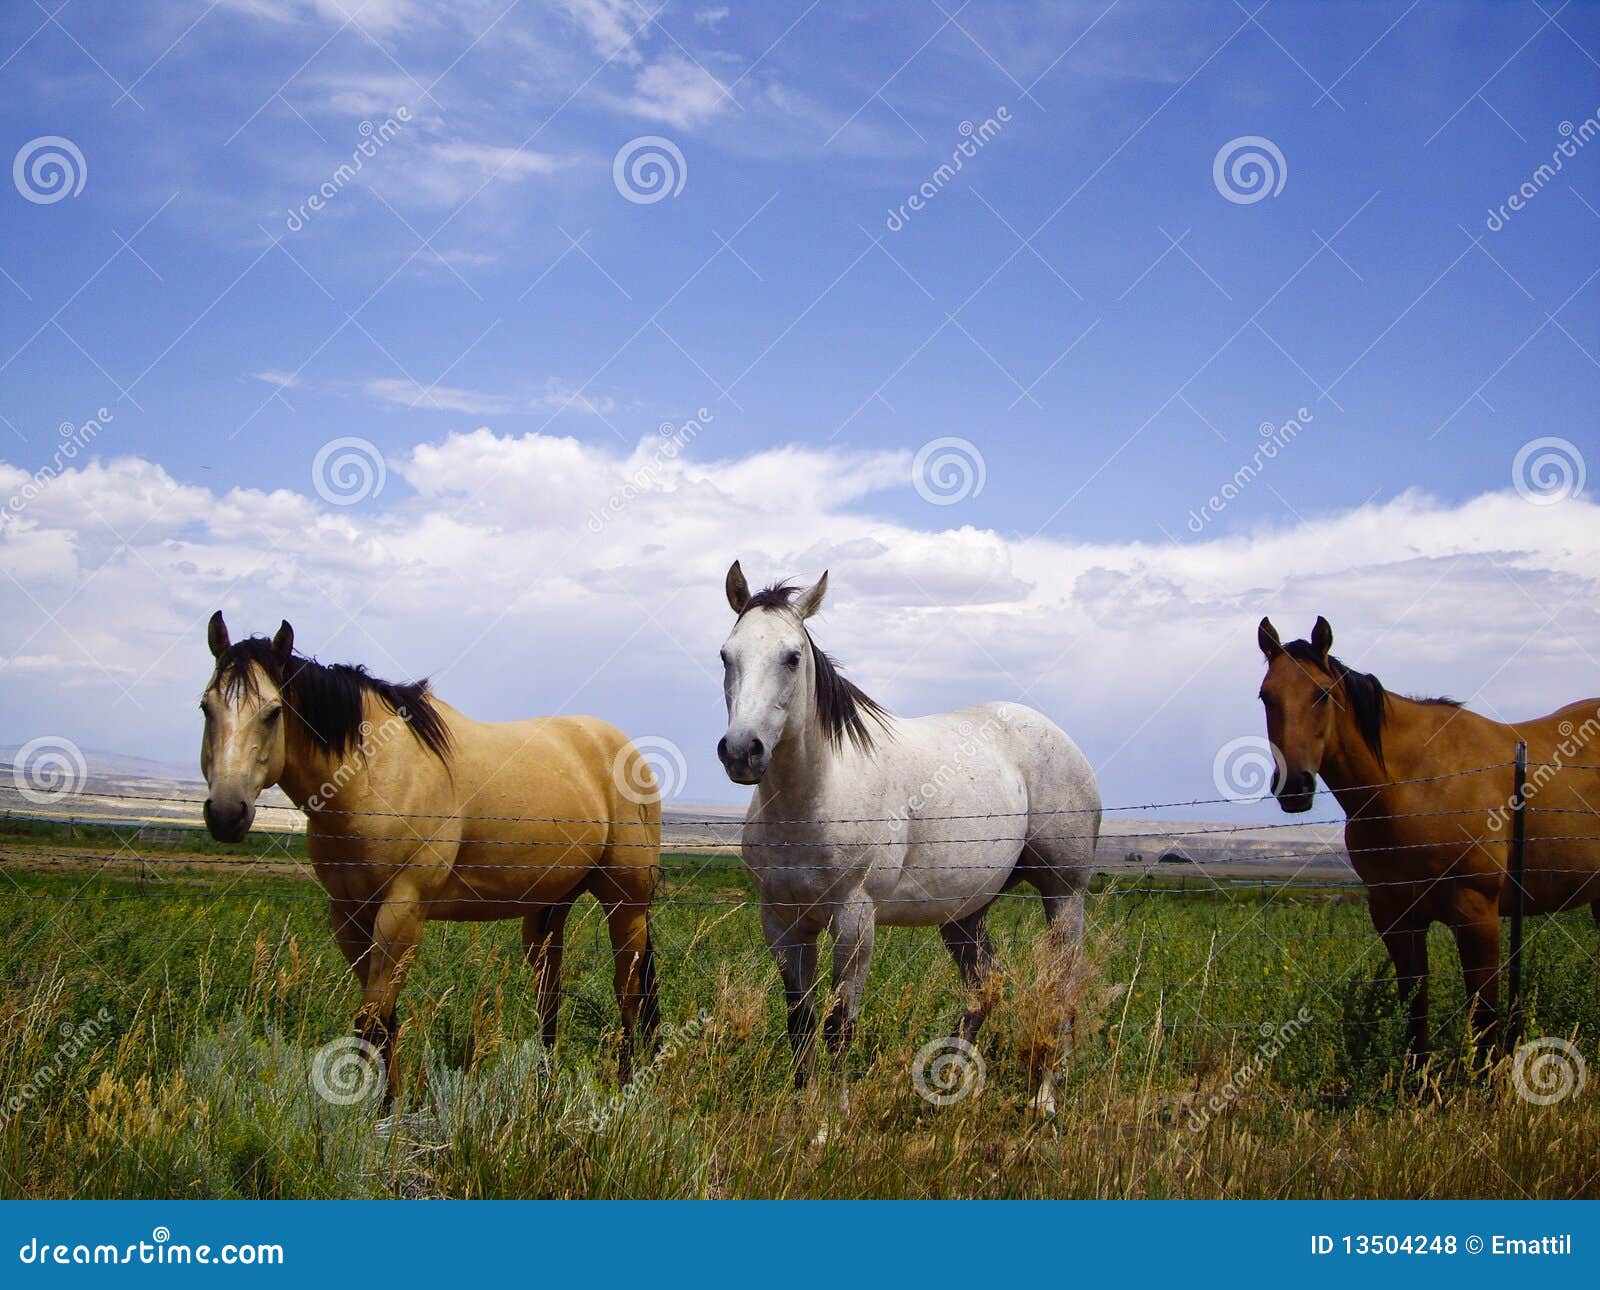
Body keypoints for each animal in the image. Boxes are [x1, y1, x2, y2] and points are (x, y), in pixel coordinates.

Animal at [198, 612, 661, 1104]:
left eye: (273, 712)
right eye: (206, 708)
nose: (226, 813)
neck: (368, 776)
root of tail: (624, 748)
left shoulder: (402, 911)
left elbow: (373, 1020)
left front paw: (389, 1112)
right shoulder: (349, 916)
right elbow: (381, 1020)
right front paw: (386, 1103)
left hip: (626, 904)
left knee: (627, 992)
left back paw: (625, 1085)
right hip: (550, 906)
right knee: (548, 996)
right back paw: (542, 1089)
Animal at [717, 562, 1102, 1116]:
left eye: (792, 657)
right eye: (727, 655)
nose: (742, 752)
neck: (814, 796)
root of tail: (1058, 737)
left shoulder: (855, 922)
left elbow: (838, 1026)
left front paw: (833, 1119)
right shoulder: (782, 923)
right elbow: (800, 1022)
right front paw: (801, 1108)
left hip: (1064, 894)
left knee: (1062, 985)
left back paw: (1046, 1097)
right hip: (967, 914)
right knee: (984, 988)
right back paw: (950, 1084)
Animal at [1257, 615, 1600, 1054]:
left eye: (1323, 694)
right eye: (1266, 697)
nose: (1294, 787)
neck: (1416, 784)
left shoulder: (1477, 916)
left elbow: (1484, 1018)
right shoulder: (1396, 918)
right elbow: (1415, 1013)